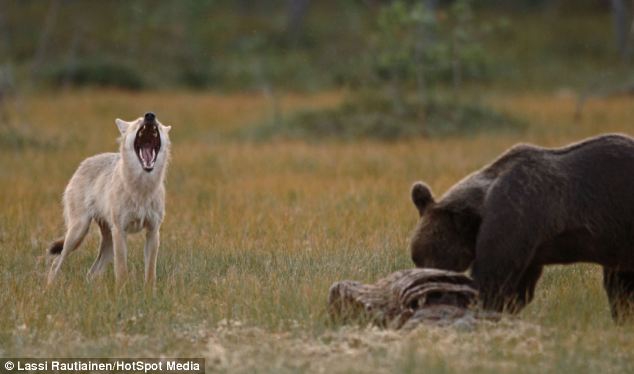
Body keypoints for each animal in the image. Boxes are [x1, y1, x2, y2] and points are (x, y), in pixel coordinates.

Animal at [46, 112, 170, 288]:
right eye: (138, 122)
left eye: (157, 124)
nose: (150, 116)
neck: (141, 189)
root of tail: (83, 163)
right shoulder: (120, 231)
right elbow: (122, 271)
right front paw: (123, 292)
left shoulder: (153, 231)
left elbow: (150, 273)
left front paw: (149, 292)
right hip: (78, 233)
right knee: (56, 262)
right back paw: (48, 289)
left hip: (107, 244)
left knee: (91, 272)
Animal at [408, 133, 632, 320]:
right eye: (416, 256)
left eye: (435, 256)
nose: (419, 286)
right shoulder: (528, 244)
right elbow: (519, 289)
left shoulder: (515, 214)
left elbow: (493, 279)